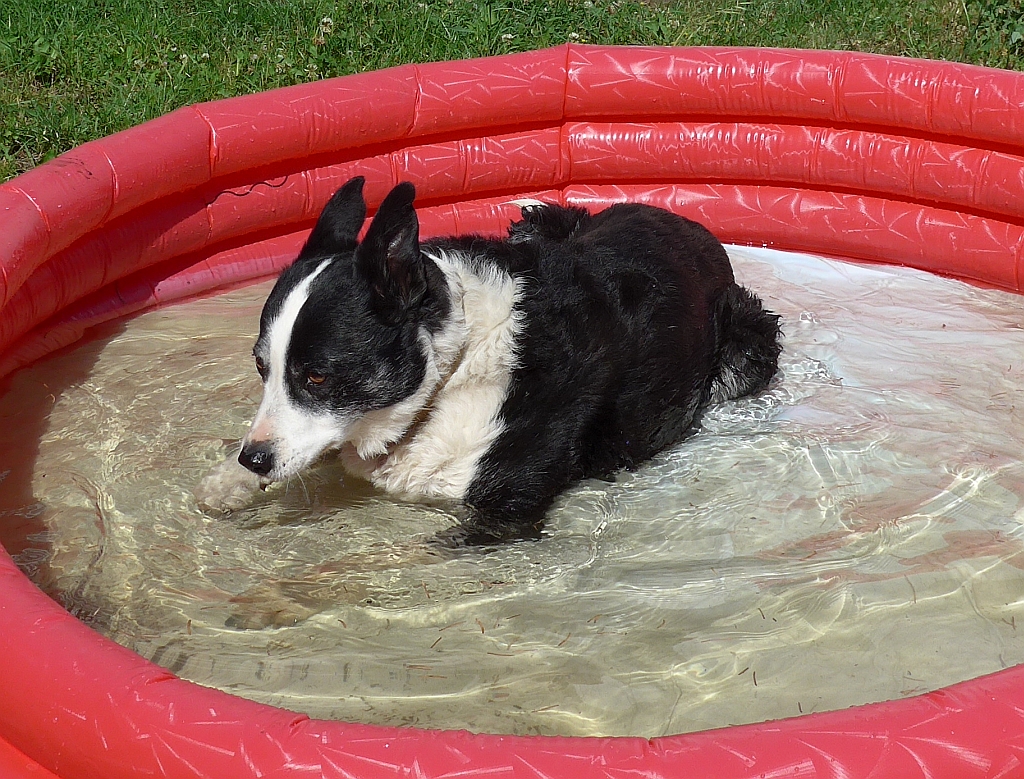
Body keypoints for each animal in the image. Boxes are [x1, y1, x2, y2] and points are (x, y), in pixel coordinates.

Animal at [195, 176, 778, 544]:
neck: (450, 369)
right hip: (539, 220)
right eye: (262, 368)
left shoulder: (504, 514)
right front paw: (229, 481)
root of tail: (687, 222)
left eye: (317, 375)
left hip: (750, 341)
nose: (253, 458)